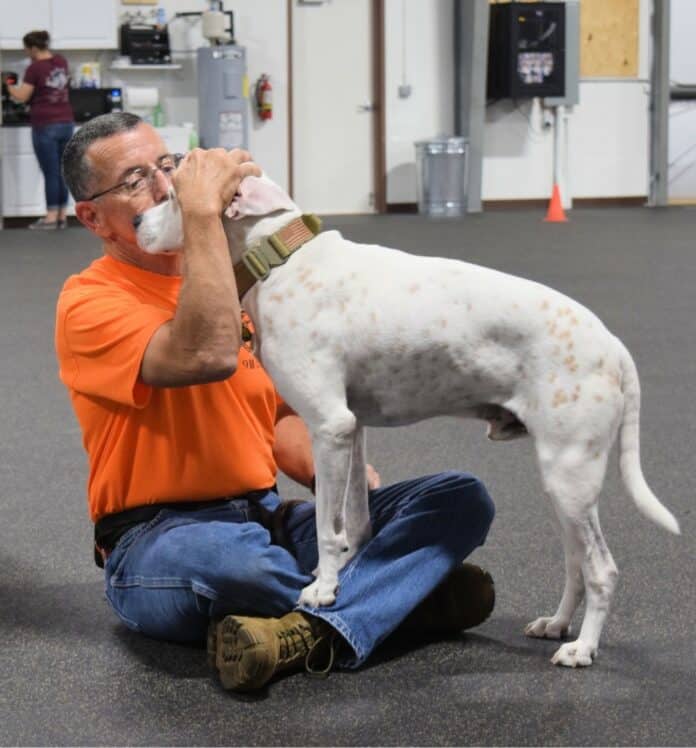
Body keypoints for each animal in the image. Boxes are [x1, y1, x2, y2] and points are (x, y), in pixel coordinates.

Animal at [136, 174, 680, 668]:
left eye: (173, 191)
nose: (138, 220)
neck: (282, 262)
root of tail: (613, 344)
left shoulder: (328, 426)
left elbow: (330, 526)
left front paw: (323, 589)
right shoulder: (352, 431)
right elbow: (355, 520)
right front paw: (347, 570)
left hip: (570, 477)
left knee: (602, 570)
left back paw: (582, 648)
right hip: (564, 484)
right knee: (576, 564)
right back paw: (557, 624)